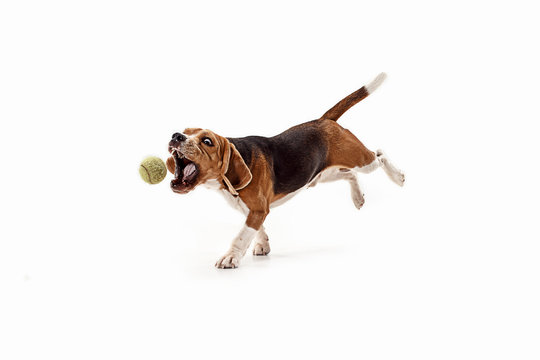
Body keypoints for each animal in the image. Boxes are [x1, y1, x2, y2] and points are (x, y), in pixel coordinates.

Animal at [167, 73, 402, 268]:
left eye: (207, 141)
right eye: (186, 131)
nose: (176, 136)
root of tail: (324, 120)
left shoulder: (257, 209)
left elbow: (241, 235)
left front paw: (230, 257)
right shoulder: (255, 210)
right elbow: (258, 229)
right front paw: (263, 244)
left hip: (361, 160)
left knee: (380, 155)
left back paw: (398, 177)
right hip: (322, 175)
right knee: (351, 174)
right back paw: (358, 198)